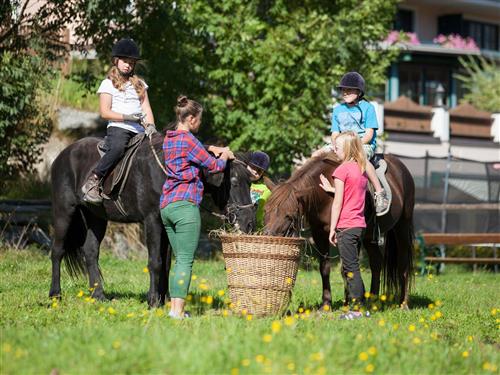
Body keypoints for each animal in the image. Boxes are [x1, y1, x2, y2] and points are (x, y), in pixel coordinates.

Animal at [48, 134, 256, 306]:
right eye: (234, 182)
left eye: (250, 182)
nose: (249, 223)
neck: (169, 170)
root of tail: (63, 155)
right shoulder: (152, 221)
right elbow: (155, 262)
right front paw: (153, 301)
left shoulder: (168, 225)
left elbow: (166, 263)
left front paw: (166, 299)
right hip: (64, 211)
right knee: (57, 251)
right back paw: (55, 295)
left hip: (96, 218)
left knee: (91, 252)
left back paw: (98, 295)